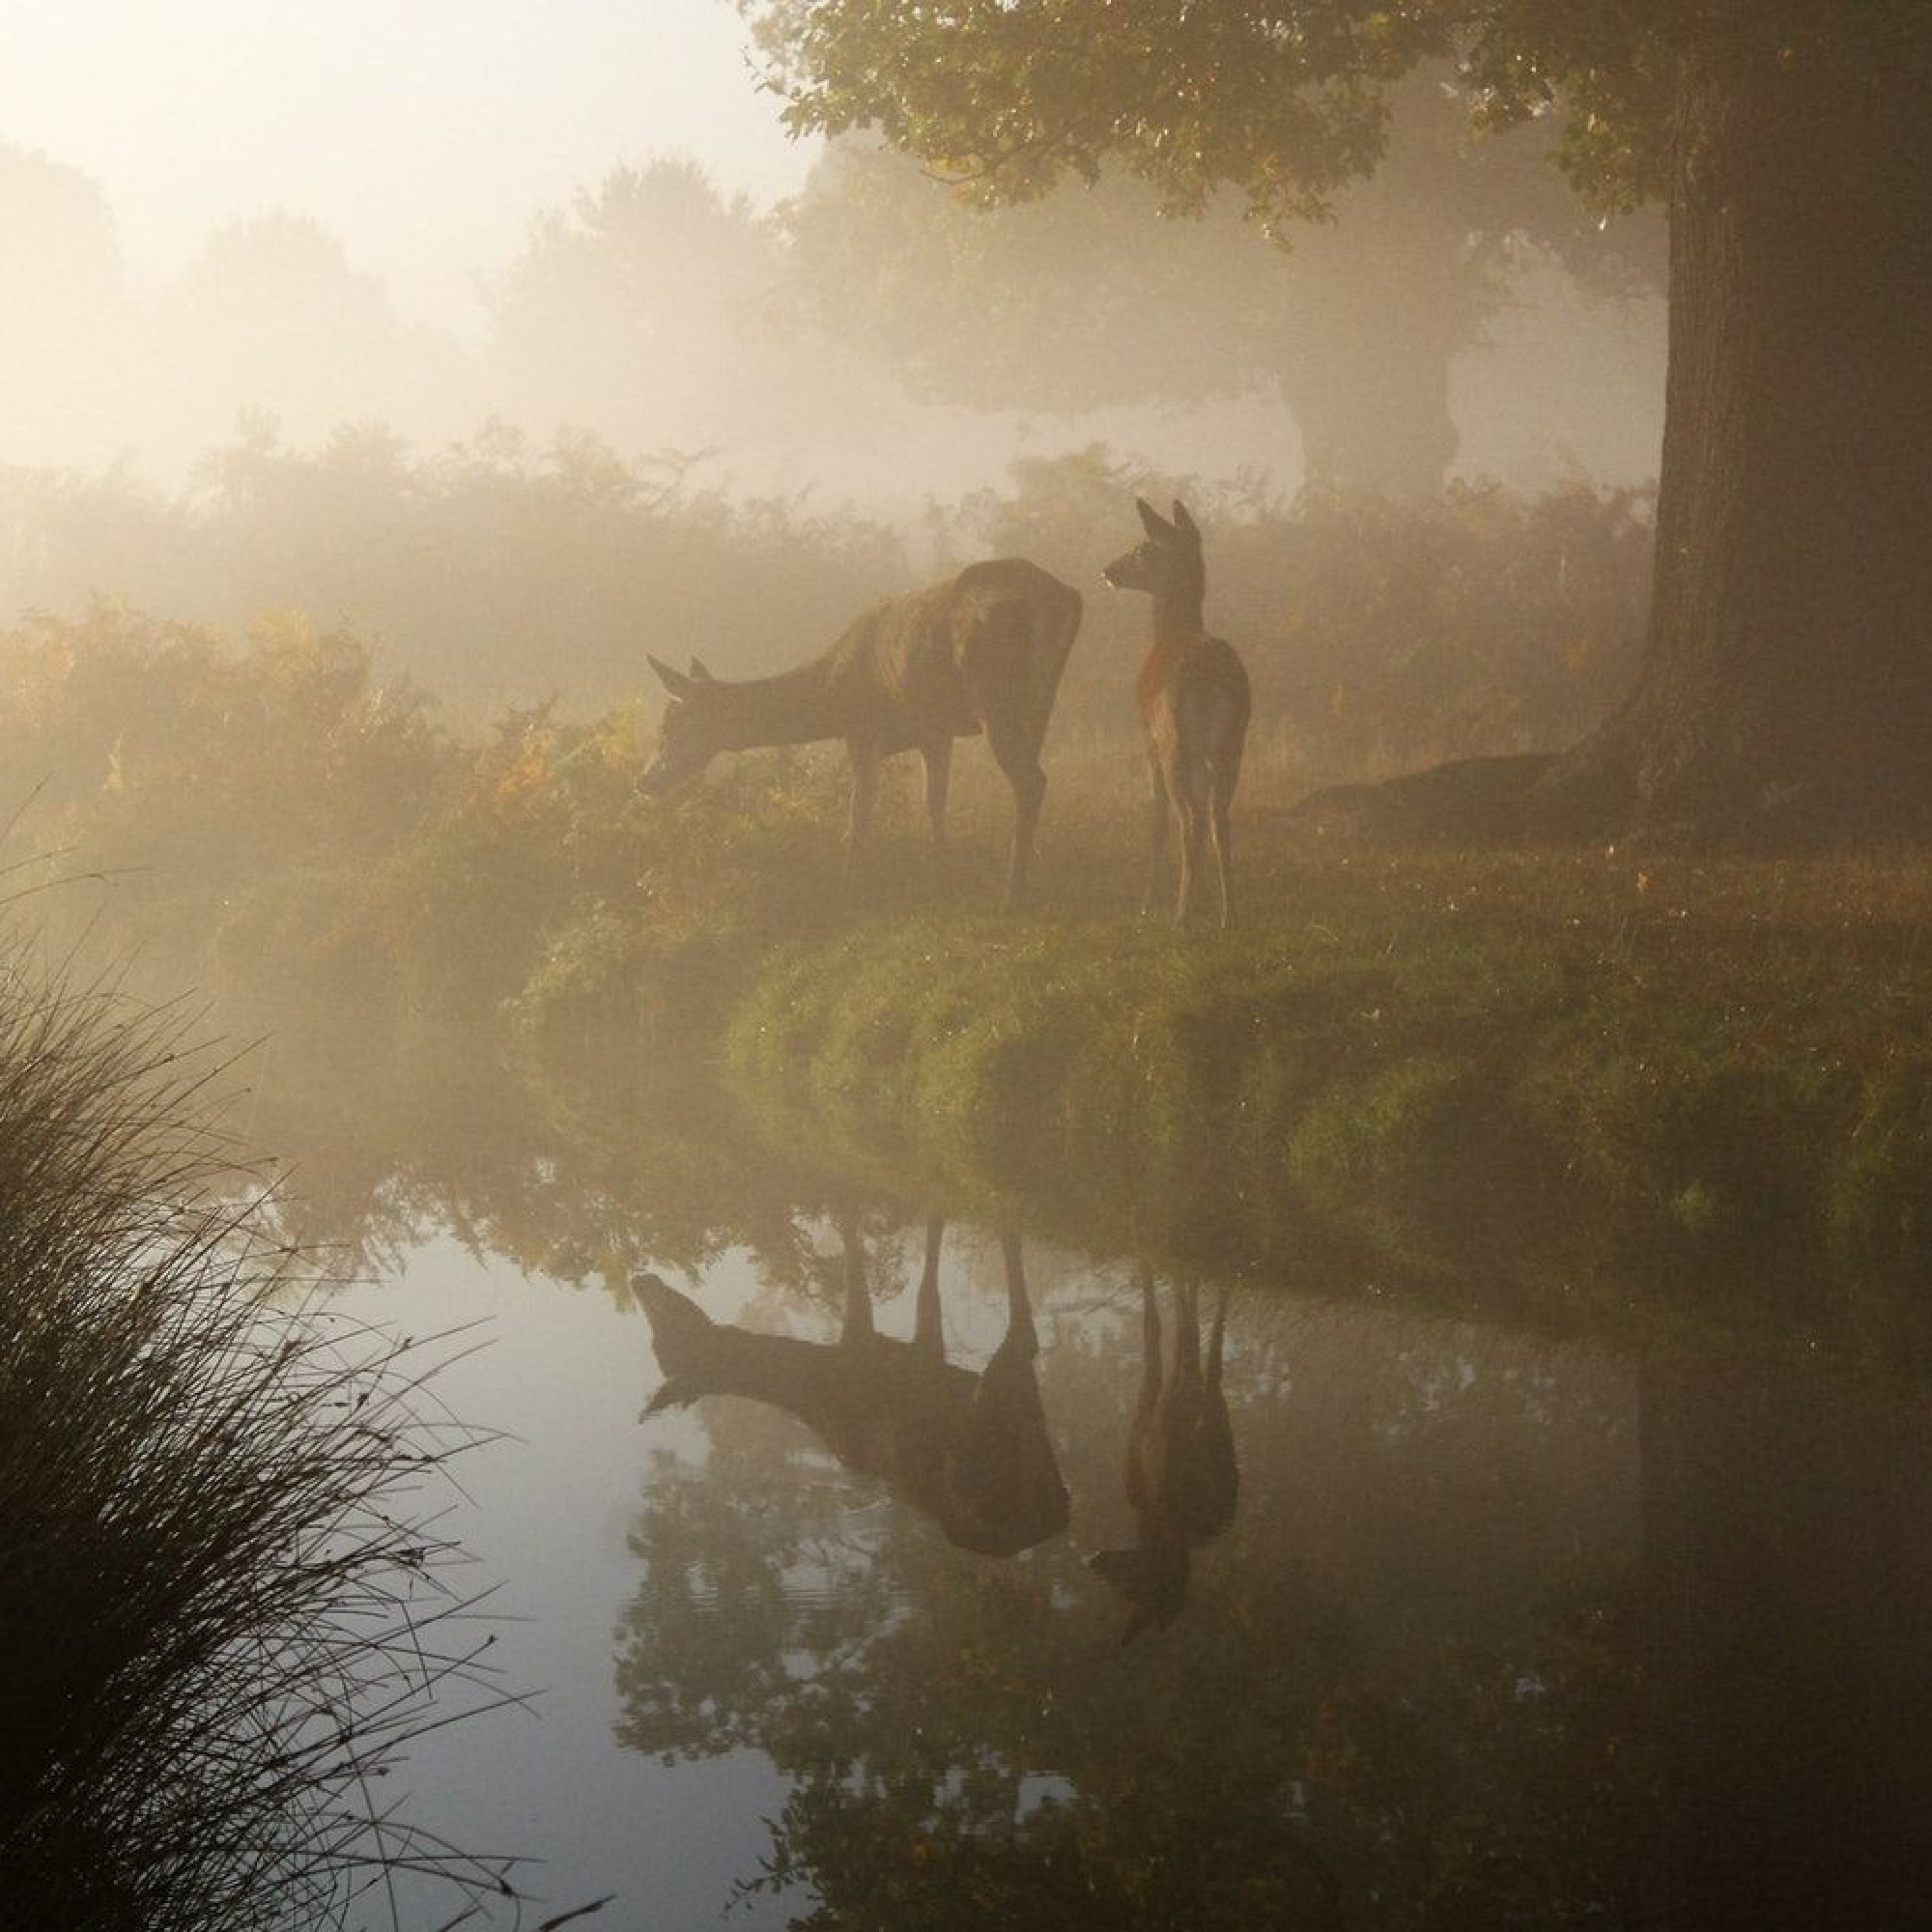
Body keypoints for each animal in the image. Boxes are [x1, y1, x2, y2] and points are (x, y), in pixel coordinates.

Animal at [634, 1221, 1066, 1553]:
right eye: (660, 1343)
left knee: (1025, 1337)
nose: (641, 1278)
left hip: (993, 1413)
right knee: (1026, 1342)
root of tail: (1057, 1516)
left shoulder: (881, 1350)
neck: (820, 1380)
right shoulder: (915, 1359)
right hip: (1016, 1411)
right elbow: (925, 1278)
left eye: (669, 1333)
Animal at [641, 560, 1082, 912]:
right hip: (1042, 698)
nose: (645, 780)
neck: (831, 699)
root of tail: (1064, 597)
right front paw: (944, 869)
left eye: (671, 725)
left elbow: (860, 809)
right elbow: (934, 801)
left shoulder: (861, 731)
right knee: (1034, 777)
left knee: (1030, 780)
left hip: (995, 693)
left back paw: (1012, 895)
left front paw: (849, 887)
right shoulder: (934, 732)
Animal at [1090, 1275, 1236, 1638]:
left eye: (1130, 1589)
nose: (1094, 1559)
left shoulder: (1153, 1411)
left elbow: (1155, 1330)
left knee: (1193, 1346)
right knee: (1198, 1346)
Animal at [1105, 495, 1252, 923]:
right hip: (1233, 742)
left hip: (1175, 740)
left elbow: (1157, 821)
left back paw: (1180, 917)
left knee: (1187, 819)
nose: (1108, 570)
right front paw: (1204, 898)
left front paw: (1146, 904)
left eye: (1142, 549)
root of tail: (1209, 681)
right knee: (1219, 818)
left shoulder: (1148, 740)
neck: (1169, 633)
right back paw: (1228, 914)